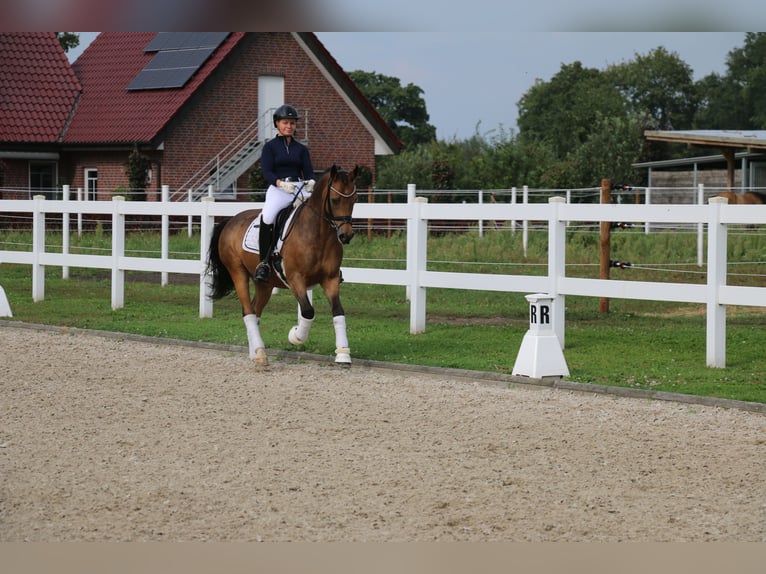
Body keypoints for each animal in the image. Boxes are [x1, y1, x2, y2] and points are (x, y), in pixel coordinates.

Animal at [204, 164, 360, 366]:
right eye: (335, 200)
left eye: (355, 200)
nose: (346, 236)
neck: (318, 234)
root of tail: (231, 220)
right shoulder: (296, 279)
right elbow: (308, 311)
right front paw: (295, 336)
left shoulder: (330, 279)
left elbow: (338, 312)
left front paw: (343, 354)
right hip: (237, 273)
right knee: (248, 311)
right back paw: (260, 353)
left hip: (265, 284)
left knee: (255, 310)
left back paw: (256, 352)